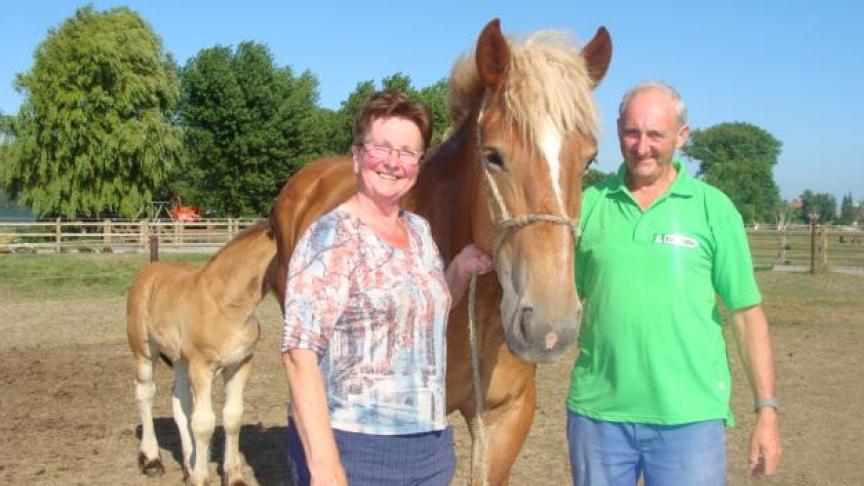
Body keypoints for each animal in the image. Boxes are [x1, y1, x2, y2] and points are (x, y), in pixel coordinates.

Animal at [126, 223, 276, 486]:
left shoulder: (240, 364)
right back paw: (152, 461)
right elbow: (204, 423)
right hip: (144, 352)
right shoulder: (201, 366)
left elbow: (232, 417)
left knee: (180, 401)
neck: (226, 303)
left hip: (179, 360)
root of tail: (149, 270)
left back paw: (189, 465)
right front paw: (202, 477)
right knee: (145, 394)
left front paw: (232, 476)